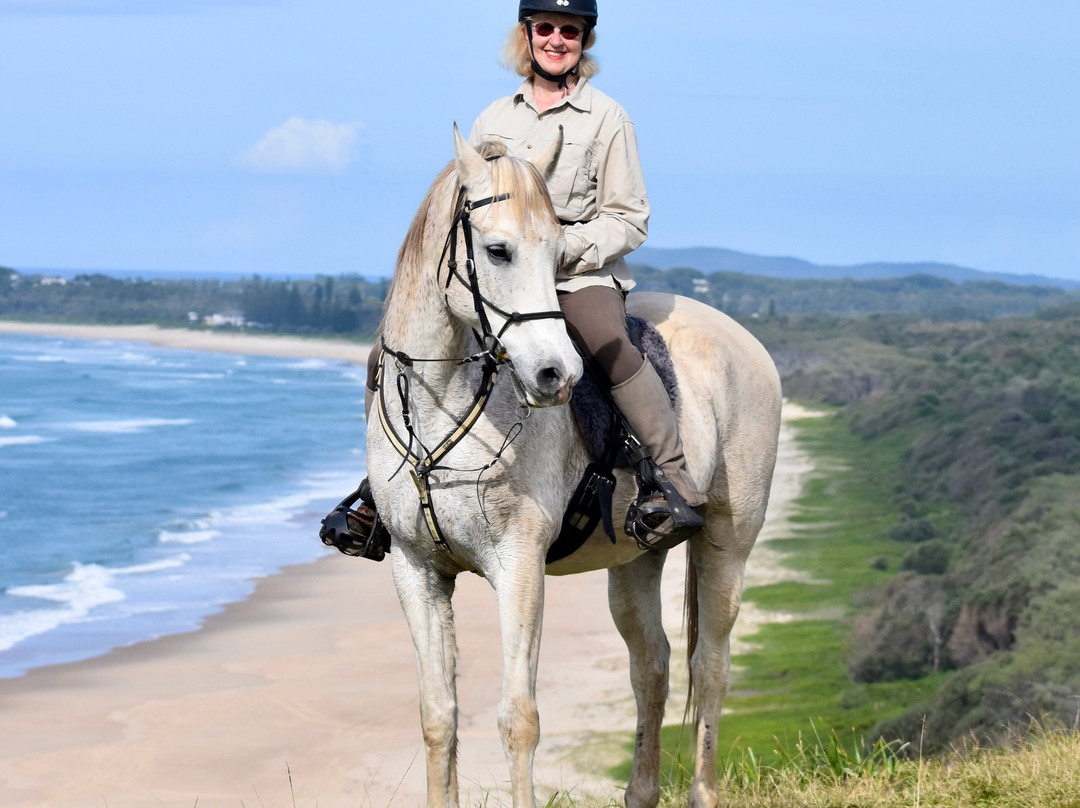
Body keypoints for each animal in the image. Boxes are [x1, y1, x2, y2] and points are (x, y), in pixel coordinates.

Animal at [364, 127, 782, 808]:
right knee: (652, 668)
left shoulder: (518, 564)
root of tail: (742, 339)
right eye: (498, 250)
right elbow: (438, 717)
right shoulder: (416, 568)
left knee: (711, 669)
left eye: (559, 250)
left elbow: (518, 718)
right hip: (637, 559)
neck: (445, 402)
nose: (556, 375)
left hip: (728, 542)